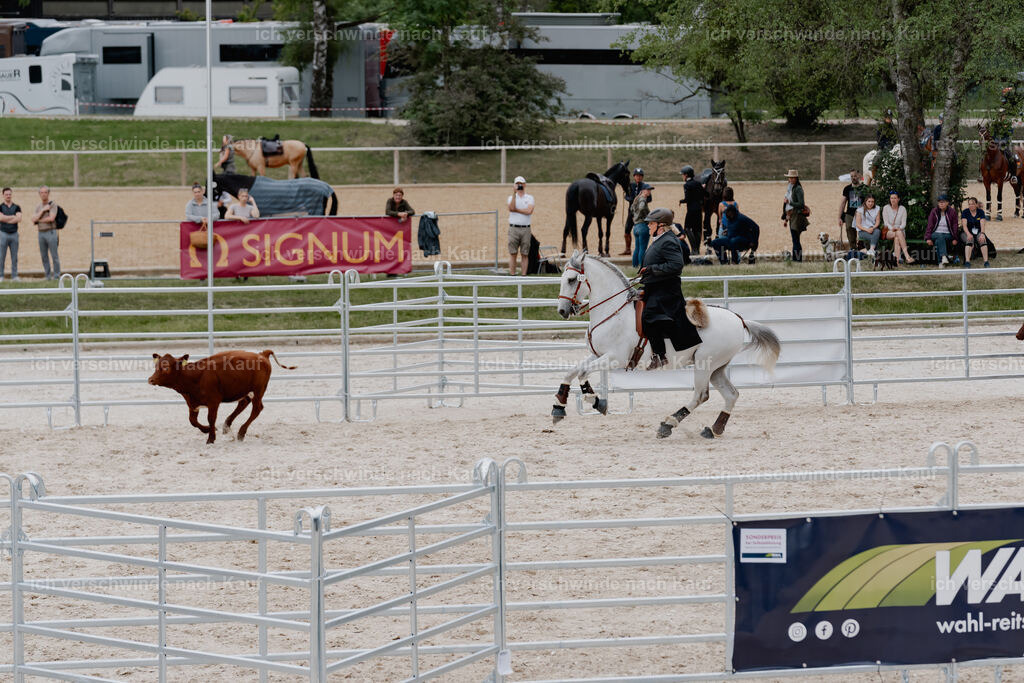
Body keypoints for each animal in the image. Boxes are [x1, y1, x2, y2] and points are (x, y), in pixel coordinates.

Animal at [552, 251, 781, 439]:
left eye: (571, 280)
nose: (562, 311)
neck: (614, 312)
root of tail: (738, 318)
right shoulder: (597, 355)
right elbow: (572, 372)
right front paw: (559, 405)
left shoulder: (615, 358)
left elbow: (582, 374)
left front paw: (596, 401)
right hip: (717, 368)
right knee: (731, 395)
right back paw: (713, 429)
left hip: (704, 365)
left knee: (701, 395)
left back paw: (668, 424)